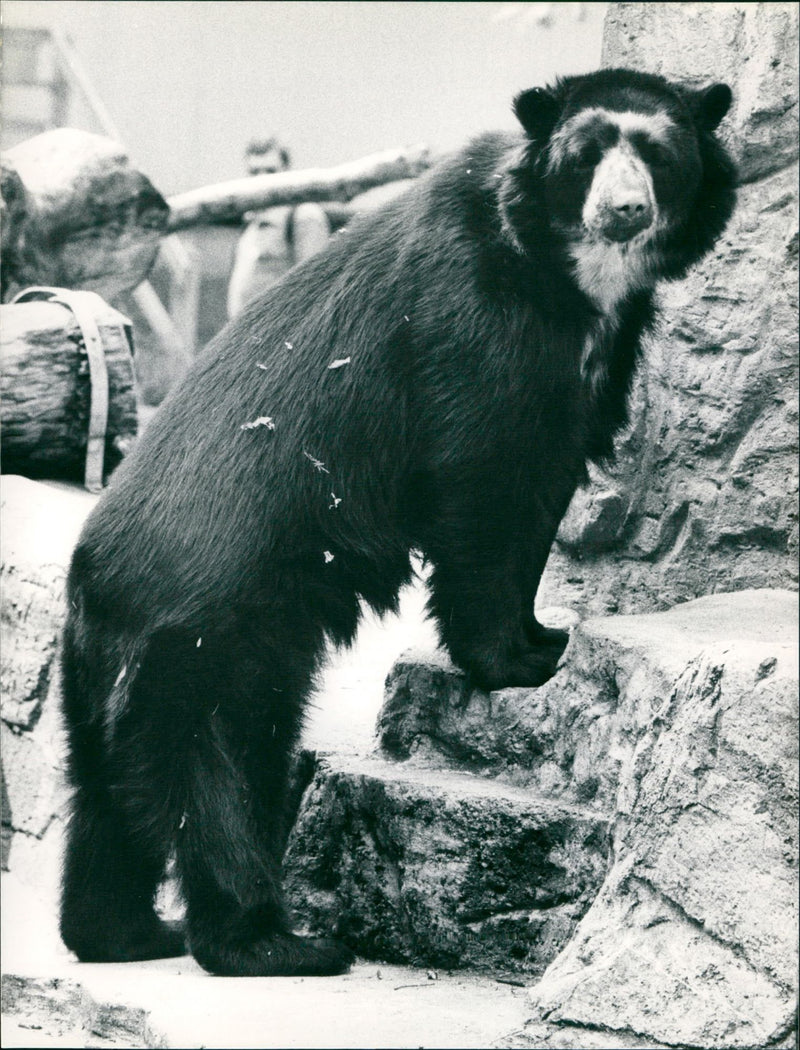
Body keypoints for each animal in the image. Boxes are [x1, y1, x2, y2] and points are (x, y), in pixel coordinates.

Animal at [60, 71, 734, 974]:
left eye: (657, 154)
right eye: (588, 156)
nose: (624, 212)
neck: (571, 273)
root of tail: (95, 587)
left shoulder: (593, 352)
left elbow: (549, 474)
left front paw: (542, 632)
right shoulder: (477, 324)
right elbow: (488, 484)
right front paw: (526, 656)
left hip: (116, 667)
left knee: (107, 792)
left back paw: (122, 934)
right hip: (211, 637)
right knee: (221, 771)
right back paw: (277, 943)